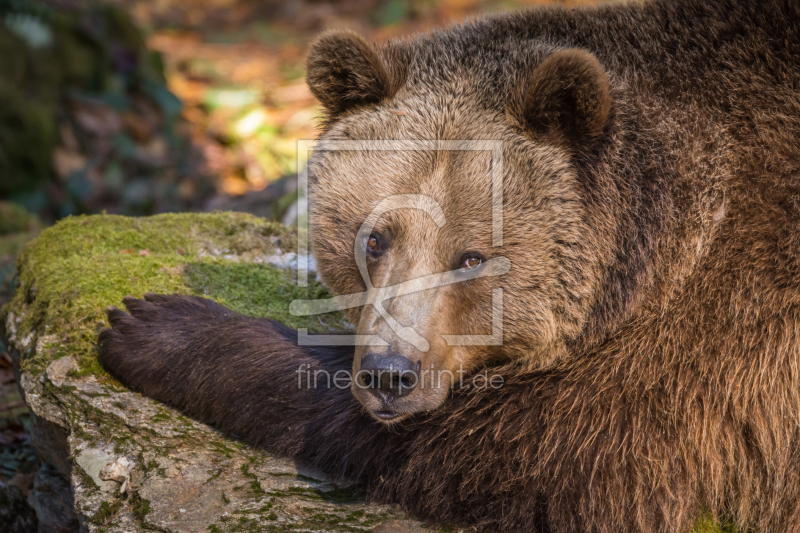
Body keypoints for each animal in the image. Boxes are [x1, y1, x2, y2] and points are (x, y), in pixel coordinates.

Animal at [98, 0, 800, 528]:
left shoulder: (725, 341)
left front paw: (156, 325)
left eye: (472, 257)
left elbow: (534, 452)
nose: (389, 375)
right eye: (374, 238)